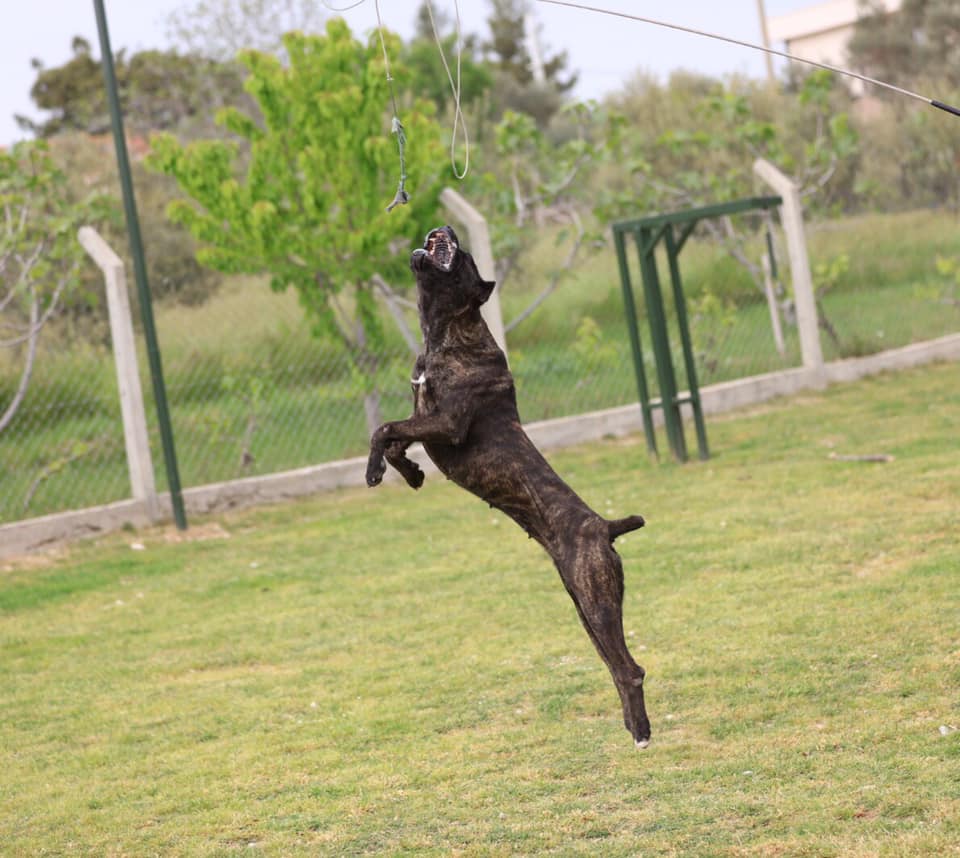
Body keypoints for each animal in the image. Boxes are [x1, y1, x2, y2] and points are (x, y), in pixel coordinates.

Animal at [368, 224, 652, 744]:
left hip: (596, 600)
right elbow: (395, 438)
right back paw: (630, 726)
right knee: (617, 665)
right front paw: (410, 475)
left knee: (629, 669)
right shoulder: (424, 418)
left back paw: (641, 733)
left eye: (463, 259)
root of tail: (604, 526)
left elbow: (384, 429)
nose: (448, 228)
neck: (447, 333)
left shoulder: (447, 424)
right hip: (585, 608)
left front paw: (374, 472)